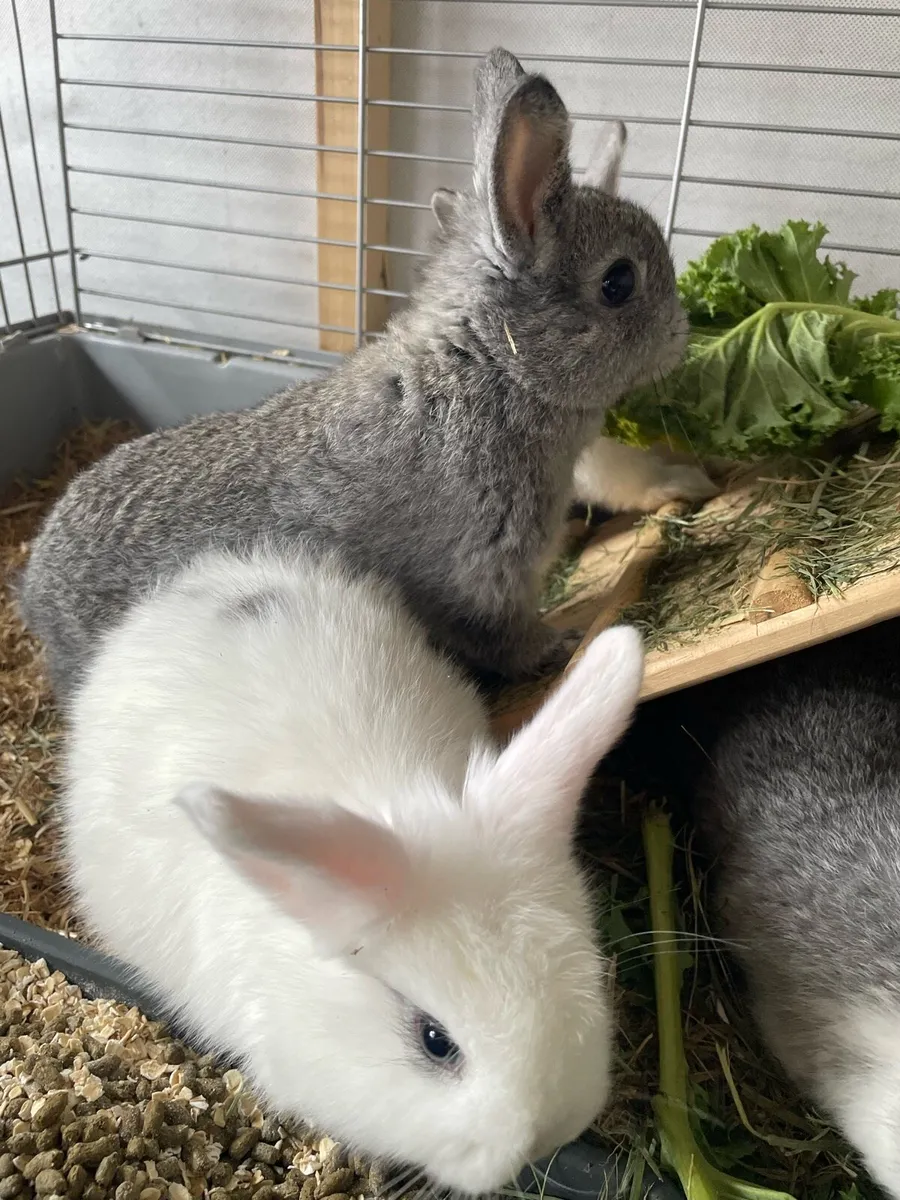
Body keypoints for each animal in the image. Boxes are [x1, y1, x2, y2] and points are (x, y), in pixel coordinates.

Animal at [20, 46, 712, 704]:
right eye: (618, 282)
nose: (681, 335)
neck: (494, 367)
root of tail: (34, 596)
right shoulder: (481, 570)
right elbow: (498, 634)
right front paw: (558, 642)